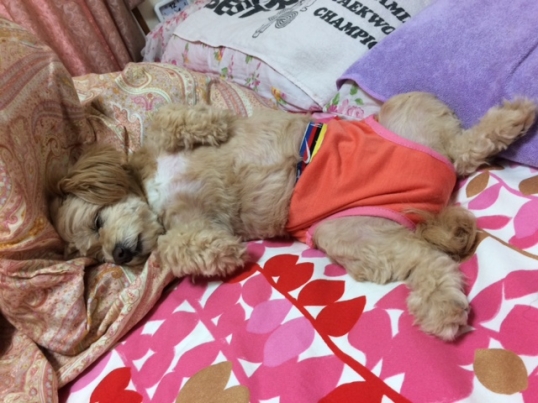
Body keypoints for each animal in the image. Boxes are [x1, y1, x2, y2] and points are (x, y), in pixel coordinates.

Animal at [48, 92, 536, 340]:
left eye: (97, 223)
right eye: (98, 258)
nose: (120, 253)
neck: (155, 191)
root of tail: (432, 195)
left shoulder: (157, 148)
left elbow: (164, 119)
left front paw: (212, 125)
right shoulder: (194, 224)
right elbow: (179, 244)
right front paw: (225, 253)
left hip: (407, 113)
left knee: (461, 150)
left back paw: (514, 116)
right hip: (351, 233)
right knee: (434, 241)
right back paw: (442, 308)